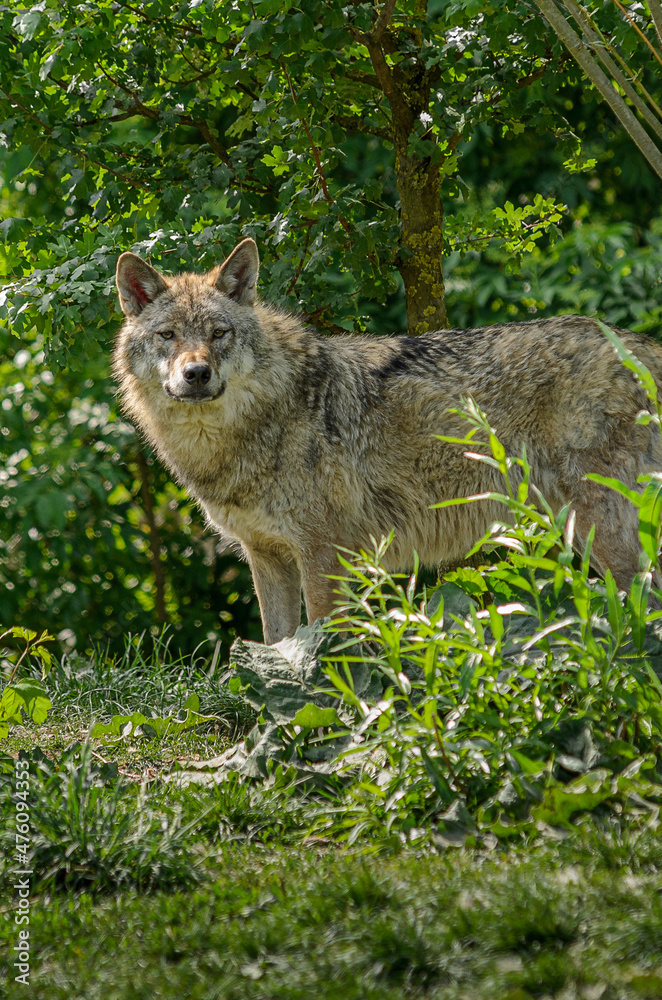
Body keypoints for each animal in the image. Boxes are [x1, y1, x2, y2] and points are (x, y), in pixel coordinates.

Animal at [113, 238, 662, 643]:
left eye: (219, 333)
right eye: (167, 335)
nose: (196, 374)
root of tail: (640, 345)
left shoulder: (323, 555)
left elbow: (326, 644)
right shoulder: (267, 557)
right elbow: (277, 644)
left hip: (607, 536)